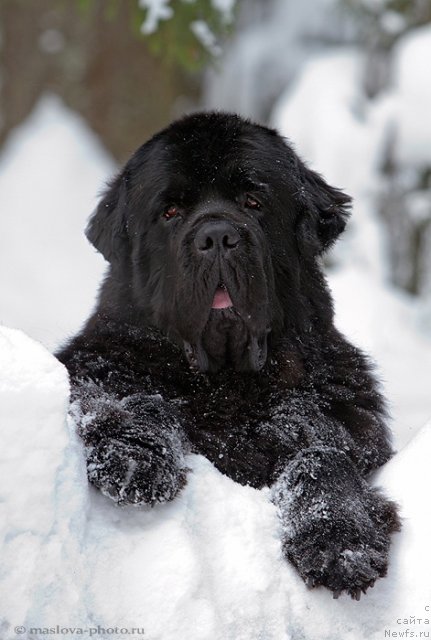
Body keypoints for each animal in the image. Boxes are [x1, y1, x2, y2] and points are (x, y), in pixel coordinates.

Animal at [57, 111, 402, 600]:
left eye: (253, 201)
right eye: (170, 212)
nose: (217, 234)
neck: (225, 381)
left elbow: (323, 457)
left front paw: (339, 542)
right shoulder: (98, 369)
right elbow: (134, 398)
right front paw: (134, 453)